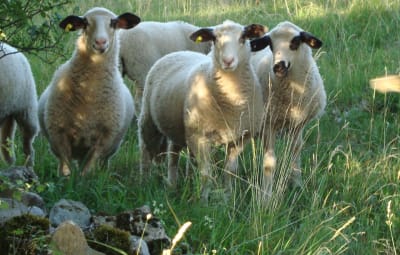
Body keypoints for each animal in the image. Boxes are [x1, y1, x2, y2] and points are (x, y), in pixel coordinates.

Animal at [37, 6, 140, 176]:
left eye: (113, 23)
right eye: (85, 23)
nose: (100, 42)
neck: (89, 94)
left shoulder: (105, 138)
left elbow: (87, 170)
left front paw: (84, 180)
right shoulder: (58, 133)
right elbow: (66, 168)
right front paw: (66, 180)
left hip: (109, 148)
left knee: (101, 162)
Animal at [139, 19, 268, 201]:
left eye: (243, 37)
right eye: (214, 39)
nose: (228, 61)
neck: (232, 102)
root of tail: (178, 52)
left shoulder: (241, 138)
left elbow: (230, 171)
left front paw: (227, 198)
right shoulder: (199, 136)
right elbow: (206, 173)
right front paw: (203, 201)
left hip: (179, 128)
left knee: (173, 155)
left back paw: (172, 185)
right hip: (149, 119)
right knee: (145, 150)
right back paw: (144, 181)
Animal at [252, 20, 326, 199]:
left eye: (296, 42)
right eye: (270, 44)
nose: (278, 67)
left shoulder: (298, 123)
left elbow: (295, 150)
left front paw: (297, 183)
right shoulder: (268, 124)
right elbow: (269, 162)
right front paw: (266, 196)